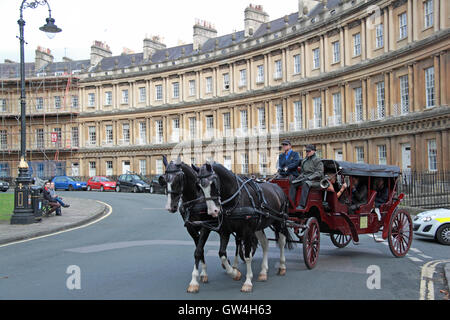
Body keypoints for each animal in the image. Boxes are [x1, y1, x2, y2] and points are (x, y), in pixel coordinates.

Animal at [161, 156, 253, 294]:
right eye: (164, 179)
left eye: (178, 178)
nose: (170, 207)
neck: (195, 199)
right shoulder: (191, 228)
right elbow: (200, 250)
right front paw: (202, 273)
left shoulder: (206, 227)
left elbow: (198, 250)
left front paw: (194, 281)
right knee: (236, 240)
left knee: (239, 242)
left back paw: (235, 265)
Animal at [194, 162, 294, 292]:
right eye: (199, 187)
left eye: (213, 183)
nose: (213, 212)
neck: (236, 199)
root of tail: (278, 188)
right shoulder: (225, 231)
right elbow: (222, 254)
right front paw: (235, 273)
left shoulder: (246, 231)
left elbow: (247, 256)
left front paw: (247, 282)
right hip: (259, 227)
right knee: (265, 243)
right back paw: (263, 271)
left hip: (279, 222)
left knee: (282, 242)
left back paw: (282, 266)